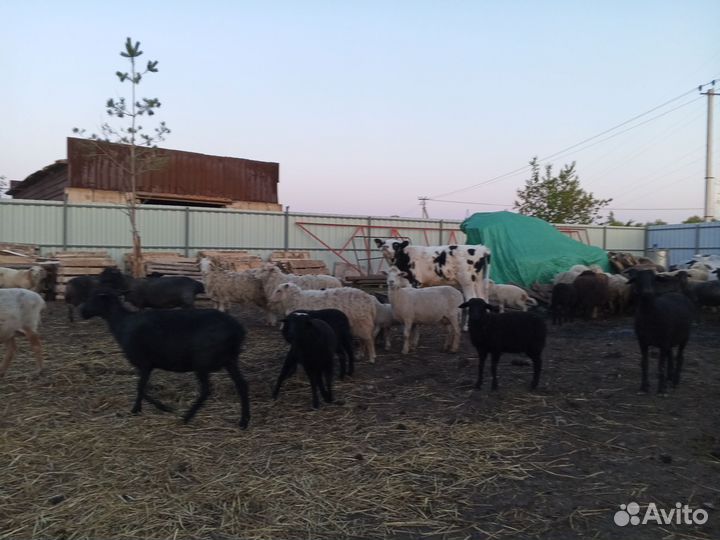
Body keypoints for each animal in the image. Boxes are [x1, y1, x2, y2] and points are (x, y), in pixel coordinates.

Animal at [80, 290, 251, 428]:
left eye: (92, 299)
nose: (81, 311)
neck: (121, 323)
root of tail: (238, 330)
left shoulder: (145, 363)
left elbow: (140, 388)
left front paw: (159, 408)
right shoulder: (146, 365)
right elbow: (142, 388)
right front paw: (138, 409)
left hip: (202, 361)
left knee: (206, 390)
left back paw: (186, 418)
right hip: (229, 359)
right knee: (242, 385)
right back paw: (244, 421)